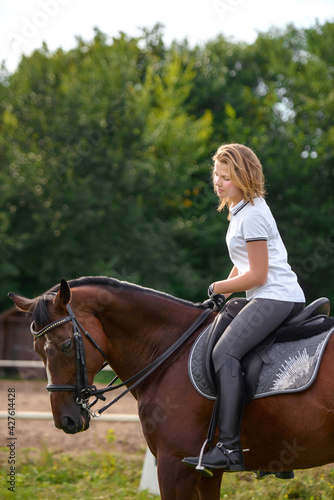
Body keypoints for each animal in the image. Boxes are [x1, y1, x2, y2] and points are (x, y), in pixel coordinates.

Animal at [9, 278, 334, 500]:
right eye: (36, 350)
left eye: (66, 345)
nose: (64, 420)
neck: (171, 350)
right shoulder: (207, 473)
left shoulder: (174, 466)